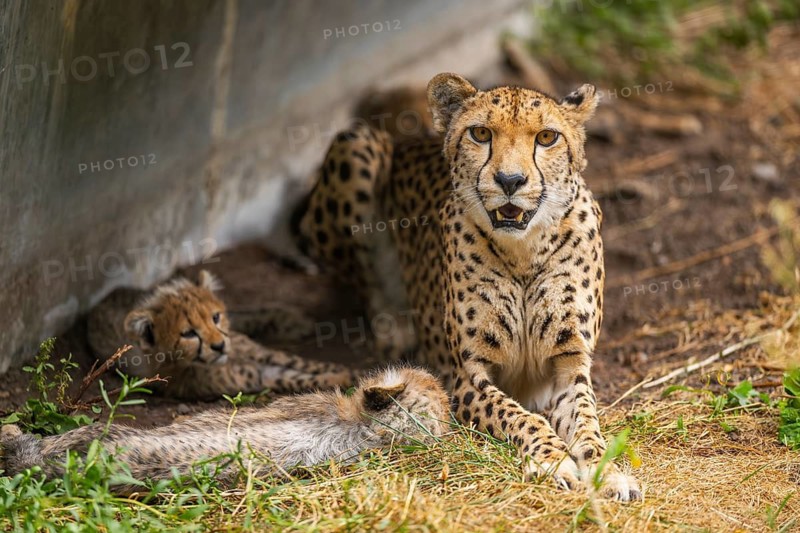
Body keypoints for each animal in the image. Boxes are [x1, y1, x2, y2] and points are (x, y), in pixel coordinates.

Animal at [87, 270, 359, 400]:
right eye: (188, 334)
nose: (219, 346)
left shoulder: (263, 354)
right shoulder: (260, 376)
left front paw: (350, 373)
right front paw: (345, 378)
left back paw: (290, 320)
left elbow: (308, 364)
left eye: (215, 318)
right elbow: (299, 377)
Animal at [292, 73, 642, 500]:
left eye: (546, 137)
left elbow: (589, 425)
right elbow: (519, 416)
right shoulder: (466, 375)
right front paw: (552, 459)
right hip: (357, 143)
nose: (510, 180)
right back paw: (394, 327)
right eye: (481, 133)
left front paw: (607, 471)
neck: (523, 252)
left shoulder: (569, 363)